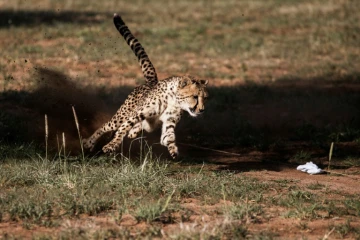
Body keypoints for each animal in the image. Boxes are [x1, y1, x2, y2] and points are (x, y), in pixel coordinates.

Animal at [83, 14, 208, 158]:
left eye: (205, 98)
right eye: (195, 96)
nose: (202, 110)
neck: (173, 100)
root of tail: (151, 82)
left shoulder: (169, 122)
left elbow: (168, 137)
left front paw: (173, 150)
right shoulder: (137, 114)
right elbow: (123, 128)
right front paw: (111, 145)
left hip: (148, 125)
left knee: (138, 127)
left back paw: (133, 132)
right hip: (121, 116)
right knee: (107, 126)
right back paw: (89, 142)